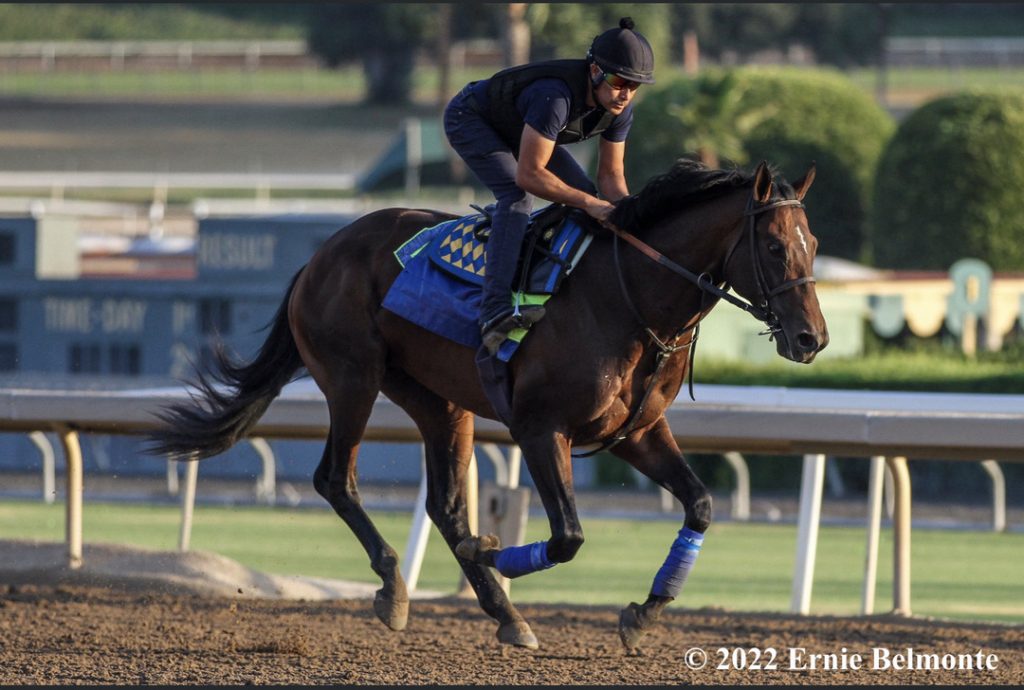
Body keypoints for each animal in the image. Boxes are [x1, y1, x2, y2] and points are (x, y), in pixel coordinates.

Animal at [149, 159, 823, 651]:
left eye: (812, 242)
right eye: (771, 246)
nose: (811, 338)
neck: (628, 299)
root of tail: (321, 254)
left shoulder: (638, 430)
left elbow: (701, 505)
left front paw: (645, 611)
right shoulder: (539, 427)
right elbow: (569, 536)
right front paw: (491, 550)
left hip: (439, 402)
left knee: (445, 505)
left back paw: (505, 615)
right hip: (352, 376)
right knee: (336, 479)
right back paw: (395, 587)